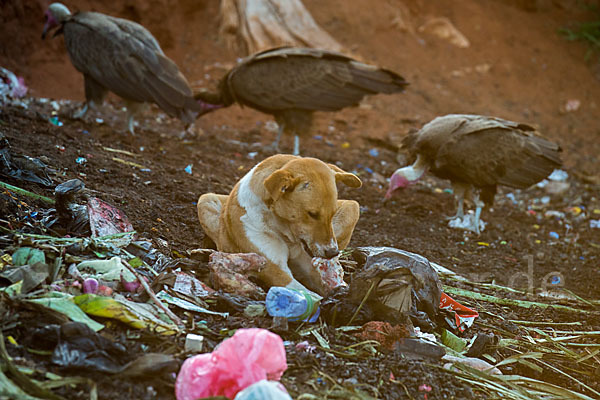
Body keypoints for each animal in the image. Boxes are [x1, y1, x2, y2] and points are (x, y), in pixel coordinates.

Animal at [199, 155, 364, 298]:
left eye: (332, 213)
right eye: (312, 214)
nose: (332, 252)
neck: (282, 228)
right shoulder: (274, 268)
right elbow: (309, 294)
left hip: (353, 207)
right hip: (205, 199)